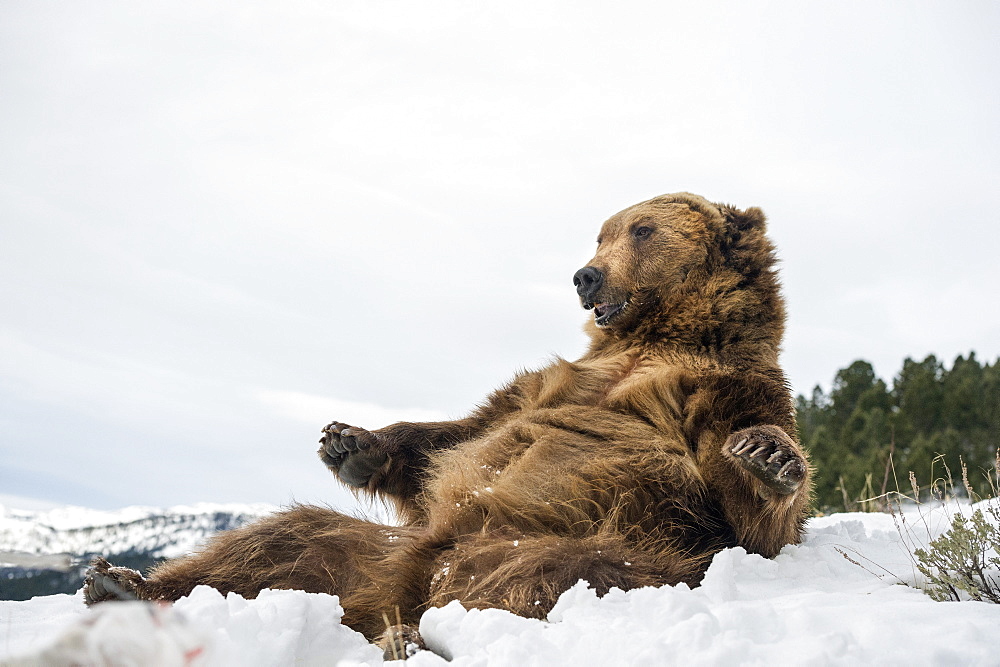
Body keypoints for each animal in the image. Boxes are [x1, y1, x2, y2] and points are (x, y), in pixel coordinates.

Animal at [86, 190, 812, 656]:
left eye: (642, 230)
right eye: (602, 231)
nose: (585, 275)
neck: (658, 337)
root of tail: (401, 584)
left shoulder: (722, 390)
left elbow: (746, 512)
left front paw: (768, 457)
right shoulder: (554, 383)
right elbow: (461, 433)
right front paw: (348, 441)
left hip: (566, 539)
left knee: (558, 571)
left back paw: (413, 639)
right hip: (368, 551)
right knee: (281, 540)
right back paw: (123, 584)